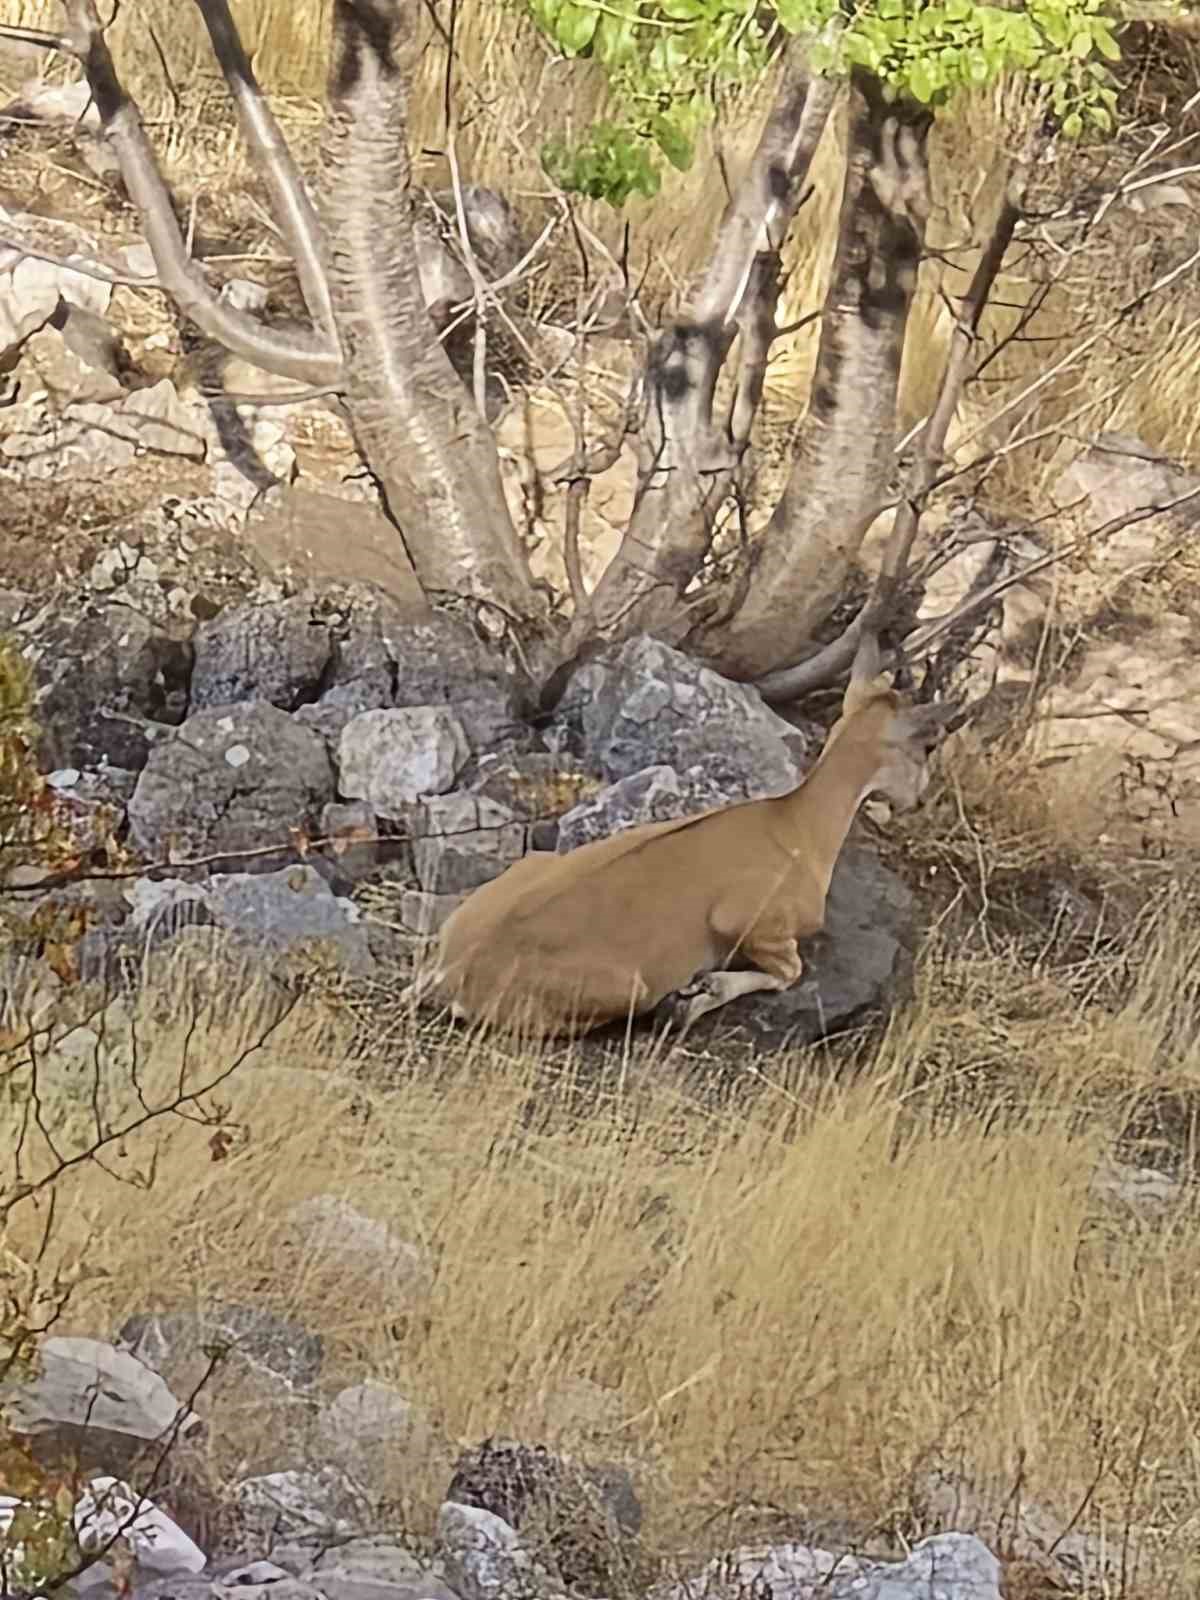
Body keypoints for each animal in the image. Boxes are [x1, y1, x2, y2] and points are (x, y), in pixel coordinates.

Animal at [409, 643, 966, 1043]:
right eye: (928, 744)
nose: (920, 798)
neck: (796, 828)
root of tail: (451, 972)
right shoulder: (754, 921)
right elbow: (787, 970)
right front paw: (695, 996)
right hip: (625, 987)